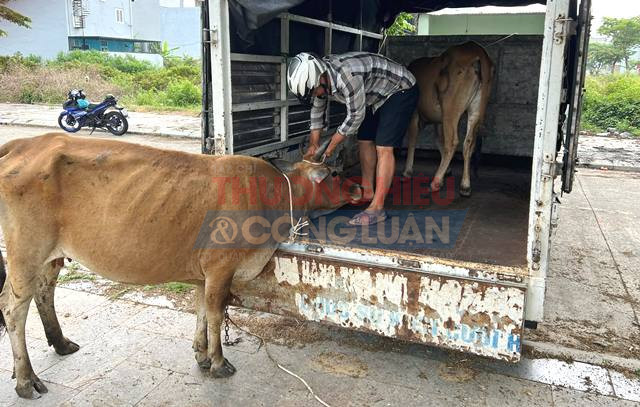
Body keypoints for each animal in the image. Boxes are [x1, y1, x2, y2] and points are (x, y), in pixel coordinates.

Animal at [0, 133, 358, 398]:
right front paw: (218, 362)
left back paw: (59, 345)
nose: (359, 186)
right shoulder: (221, 268)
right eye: (335, 173)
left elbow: (200, 309)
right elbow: (215, 313)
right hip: (25, 253)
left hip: (49, 256)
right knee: (13, 309)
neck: (272, 195)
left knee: (44, 292)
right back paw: (25, 380)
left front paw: (201, 353)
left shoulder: (203, 274)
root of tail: (22, 144)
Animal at [200, 0, 592, 364]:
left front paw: (403, 171)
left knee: (437, 142)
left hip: (443, 106)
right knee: (459, 140)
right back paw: (455, 184)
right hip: (472, 106)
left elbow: (391, 133)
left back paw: (425, 187)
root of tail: (478, 54)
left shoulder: (389, 103)